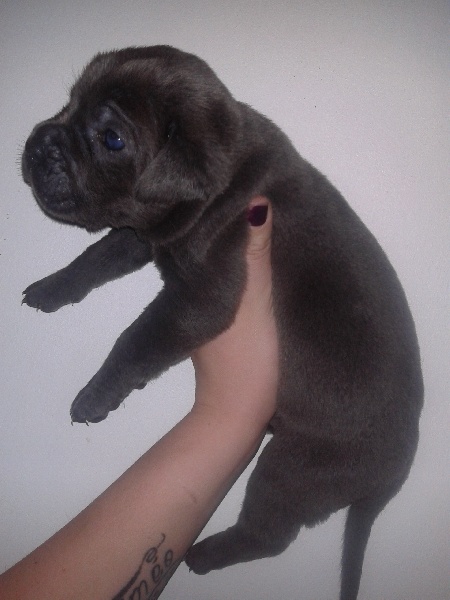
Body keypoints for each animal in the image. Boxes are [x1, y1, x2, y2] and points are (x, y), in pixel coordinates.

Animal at [21, 46, 423, 599]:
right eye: (69, 104)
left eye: (112, 139)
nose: (40, 141)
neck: (219, 186)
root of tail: (393, 477)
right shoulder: (142, 237)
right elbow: (94, 260)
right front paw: (51, 287)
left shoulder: (201, 298)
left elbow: (135, 339)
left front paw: (96, 395)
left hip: (292, 469)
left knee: (270, 534)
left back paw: (207, 554)